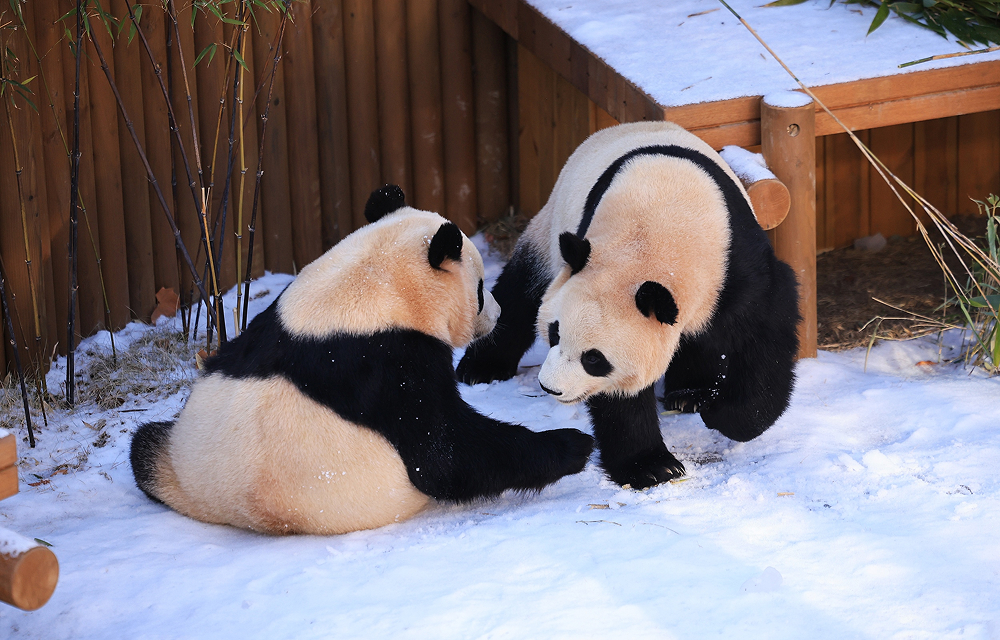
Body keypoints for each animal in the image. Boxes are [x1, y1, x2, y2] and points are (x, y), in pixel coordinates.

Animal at [130, 186, 594, 535]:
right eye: (480, 289)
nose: (496, 315)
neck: (372, 285)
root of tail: (216, 505)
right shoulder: (388, 364)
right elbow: (444, 453)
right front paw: (573, 445)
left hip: (172, 454)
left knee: (143, 444)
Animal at [458, 122, 800, 490]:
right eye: (554, 334)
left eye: (594, 359)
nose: (551, 387)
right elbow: (620, 398)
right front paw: (652, 467)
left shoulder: (735, 264)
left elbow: (764, 334)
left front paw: (723, 414)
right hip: (550, 231)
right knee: (520, 293)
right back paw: (480, 368)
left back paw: (690, 394)